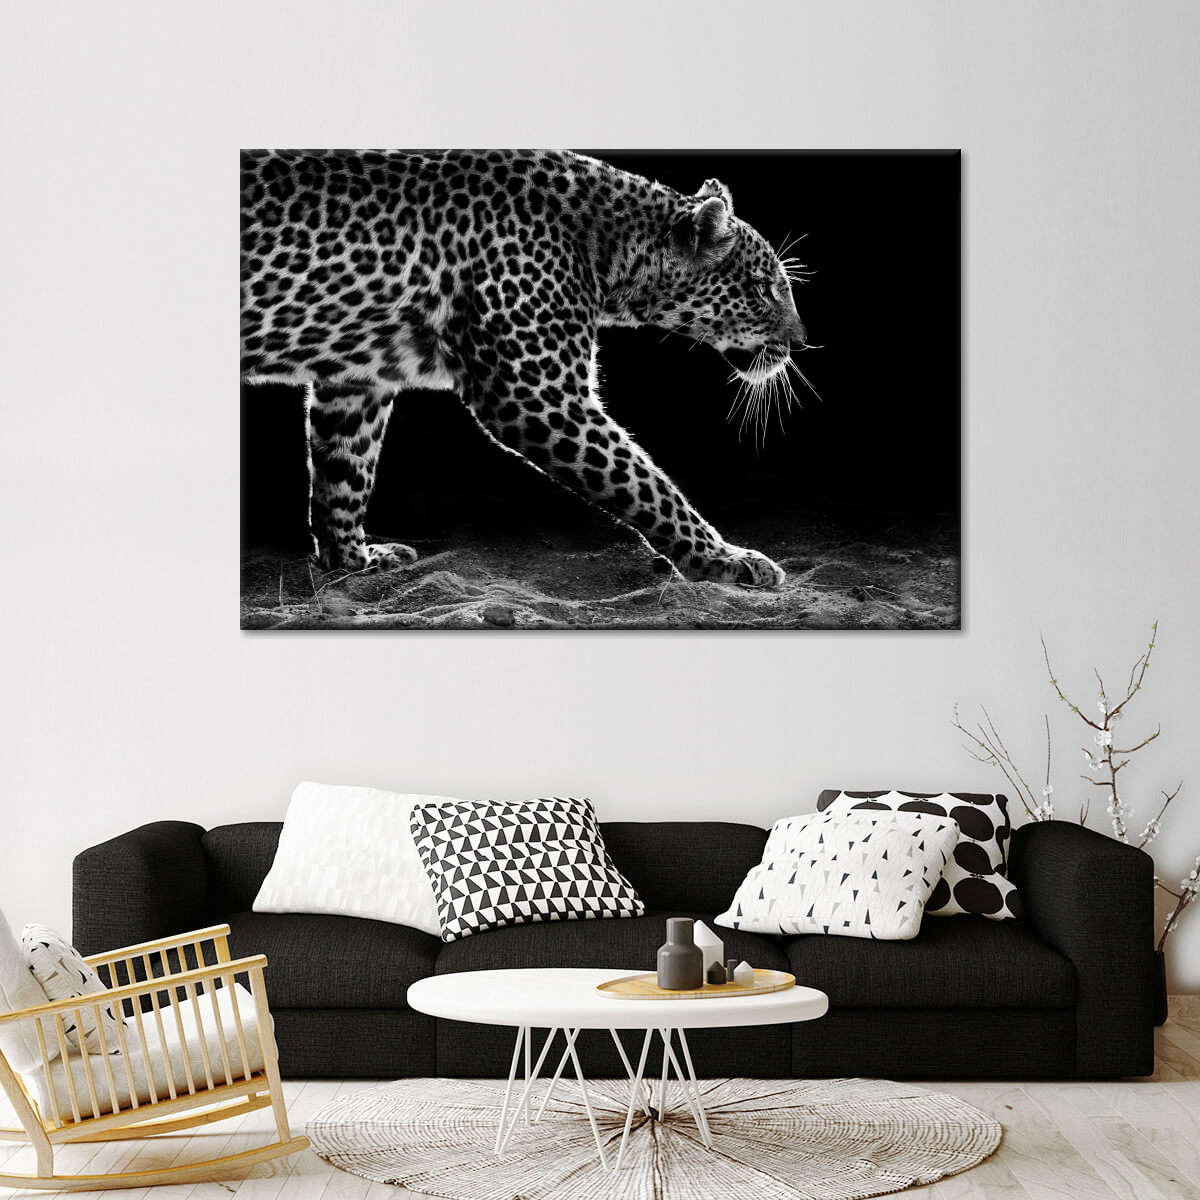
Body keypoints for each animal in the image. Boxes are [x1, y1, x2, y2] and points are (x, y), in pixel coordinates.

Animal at [240, 149, 810, 587]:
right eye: (764, 288)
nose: (800, 343)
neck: (611, 249)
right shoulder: (538, 394)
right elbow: (646, 483)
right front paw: (723, 559)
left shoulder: (359, 378)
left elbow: (344, 471)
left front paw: (353, 561)